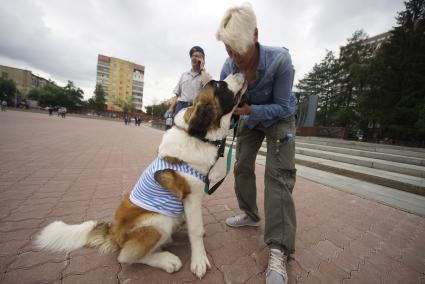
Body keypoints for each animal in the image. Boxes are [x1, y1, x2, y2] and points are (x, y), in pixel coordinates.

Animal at [36, 73, 247, 280]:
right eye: (219, 85)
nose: (241, 71)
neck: (197, 135)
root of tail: (114, 232)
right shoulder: (192, 197)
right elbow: (196, 230)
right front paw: (199, 261)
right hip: (158, 221)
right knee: (126, 256)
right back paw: (166, 260)